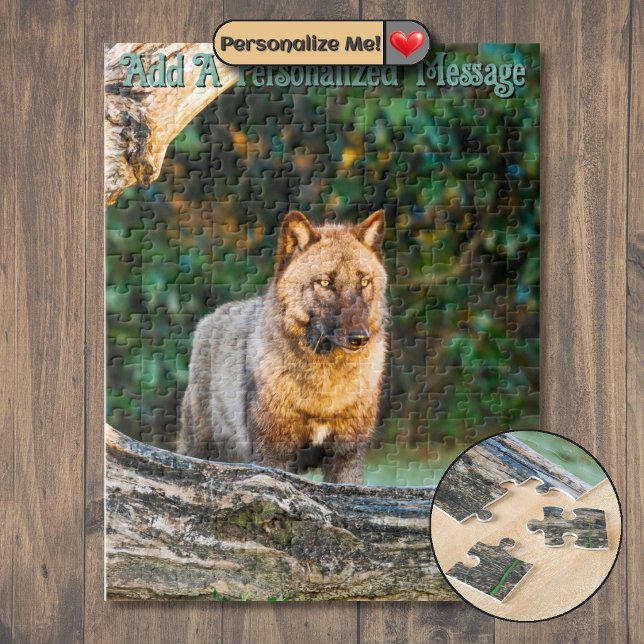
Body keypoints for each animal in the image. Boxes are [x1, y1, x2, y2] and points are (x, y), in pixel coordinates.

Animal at [178, 210, 388, 483]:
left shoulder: (346, 457)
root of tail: (210, 318)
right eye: (325, 283)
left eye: (364, 282)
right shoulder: (273, 457)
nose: (360, 337)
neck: (323, 390)